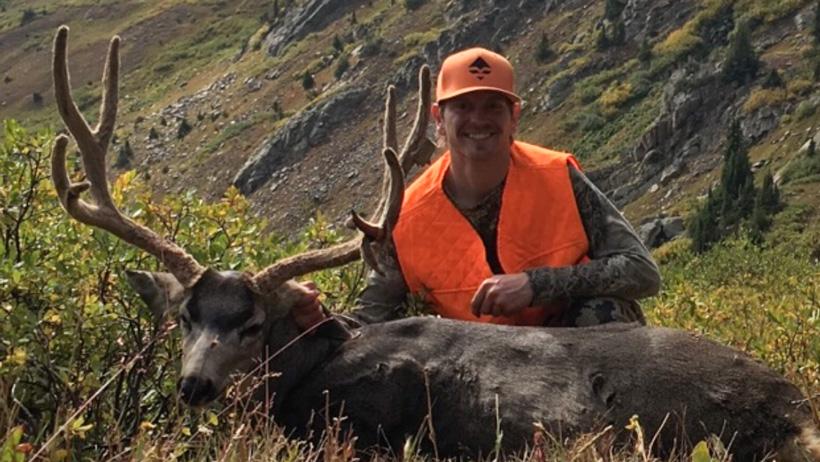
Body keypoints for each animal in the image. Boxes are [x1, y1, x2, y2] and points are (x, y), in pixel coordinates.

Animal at [51, 26, 819, 461]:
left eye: (253, 323)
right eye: (185, 316)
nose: (195, 386)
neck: (307, 371)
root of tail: (798, 406)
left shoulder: (366, 428)